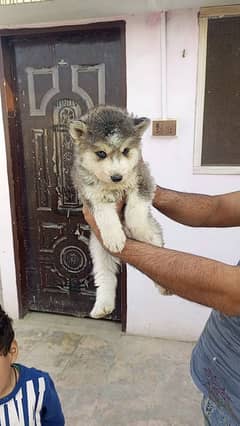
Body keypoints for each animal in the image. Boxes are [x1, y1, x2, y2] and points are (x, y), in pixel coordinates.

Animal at [69, 106, 167, 320]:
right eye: (101, 153)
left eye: (126, 151)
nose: (117, 177)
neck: (114, 187)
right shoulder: (90, 194)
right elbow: (105, 215)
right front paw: (115, 236)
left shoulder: (142, 178)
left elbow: (135, 209)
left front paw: (137, 228)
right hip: (98, 248)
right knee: (105, 276)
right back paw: (102, 306)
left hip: (155, 242)